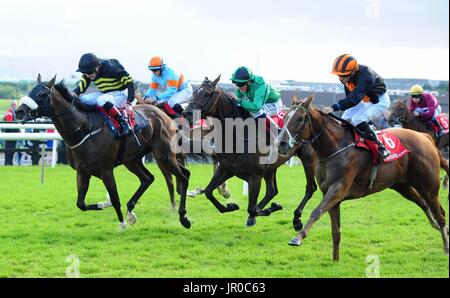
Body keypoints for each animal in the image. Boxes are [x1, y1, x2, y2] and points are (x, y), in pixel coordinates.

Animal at [15, 75, 192, 229]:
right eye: (30, 91)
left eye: (41, 94)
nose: (19, 112)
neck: (83, 129)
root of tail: (163, 114)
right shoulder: (82, 172)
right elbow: (81, 203)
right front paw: (104, 205)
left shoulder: (106, 170)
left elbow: (114, 198)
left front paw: (122, 225)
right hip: (132, 160)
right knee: (148, 178)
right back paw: (131, 212)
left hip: (163, 155)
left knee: (183, 176)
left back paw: (184, 217)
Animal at [181, 76, 318, 228]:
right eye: (194, 93)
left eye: (206, 94)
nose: (186, 113)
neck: (238, 136)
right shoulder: (226, 169)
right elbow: (208, 191)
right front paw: (230, 206)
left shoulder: (255, 176)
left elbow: (251, 207)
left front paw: (271, 208)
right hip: (271, 168)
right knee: (272, 191)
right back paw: (254, 217)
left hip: (308, 159)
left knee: (310, 188)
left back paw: (296, 219)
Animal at [280, 94, 448, 260]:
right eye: (286, 116)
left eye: (300, 118)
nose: (281, 143)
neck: (335, 148)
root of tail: (424, 137)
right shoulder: (331, 195)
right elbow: (335, 231)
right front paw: (335, 260)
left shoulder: (338, 189)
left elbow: (316, 211)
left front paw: (298, 237)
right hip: (403, 186)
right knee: (424, 204)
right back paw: (436, 226)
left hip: (429, 187)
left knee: (440, 214)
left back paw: (445, 246)